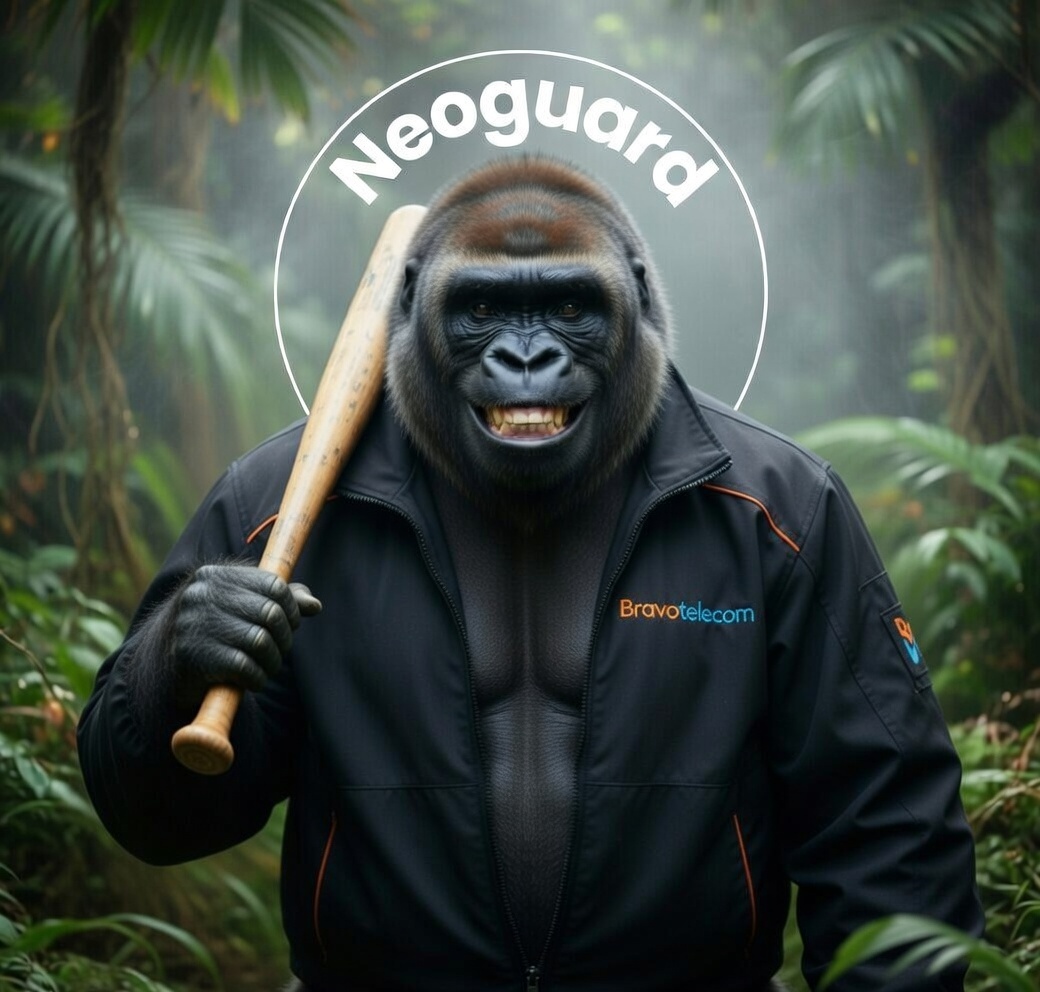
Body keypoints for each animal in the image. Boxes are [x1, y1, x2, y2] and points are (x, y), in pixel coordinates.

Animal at [79, 156, 983, 991]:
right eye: (482, 308)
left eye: (571, 307)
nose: (525, 356)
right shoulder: (254, 504)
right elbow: (165, 801)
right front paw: (201, 635)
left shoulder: (813, 525)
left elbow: (868, 800)